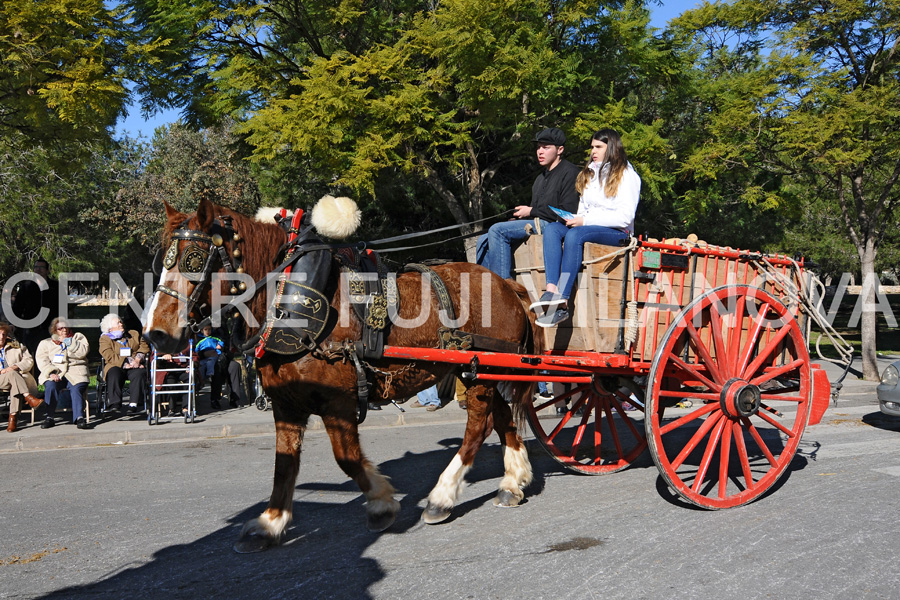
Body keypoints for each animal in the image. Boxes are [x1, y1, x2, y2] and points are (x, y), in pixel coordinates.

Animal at [144, 198, 544, 552]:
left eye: (193, 259)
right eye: (163, 261)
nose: (156, 333)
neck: (285, 297)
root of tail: (508, 285)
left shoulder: (337, 399)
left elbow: (346, 457)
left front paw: (382, 503)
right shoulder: (286, 402)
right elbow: (284, 463)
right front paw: (269, 522)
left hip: (482, 370)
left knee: (478, 423)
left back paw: (442, 496)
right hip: (482, 368)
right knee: (500, 415)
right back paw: (513, 481)